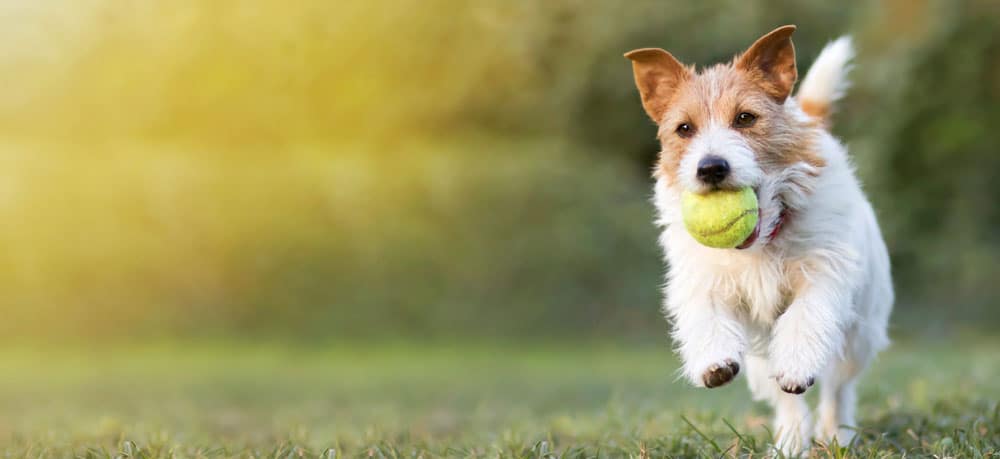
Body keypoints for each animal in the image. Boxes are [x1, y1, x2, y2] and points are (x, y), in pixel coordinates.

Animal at [628, 25, 896, 452]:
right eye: (684, 128)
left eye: (745, 118)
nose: (711, 168)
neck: (764, 240)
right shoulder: (705, 279)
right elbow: (705, 313)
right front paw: (713, 360)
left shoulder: (825, 271)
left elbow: (807, 315)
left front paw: (798, 365)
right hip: (760, 356)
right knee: (786, 401)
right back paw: (790, 442)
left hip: (860, 333)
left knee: (838, 387)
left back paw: (836, 434)